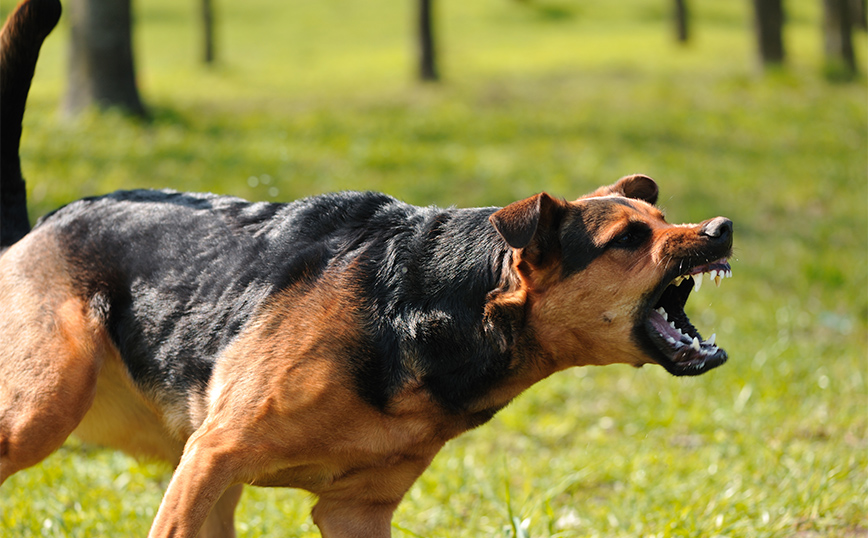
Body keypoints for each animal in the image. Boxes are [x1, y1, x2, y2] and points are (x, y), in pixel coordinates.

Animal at [0, 1, 732, 536]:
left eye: (662, 217)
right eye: (629, 238)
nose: (721, 230)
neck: (433, 307)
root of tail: (36, 228)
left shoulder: (353, 509)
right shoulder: (213, 455)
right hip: (45, 409)